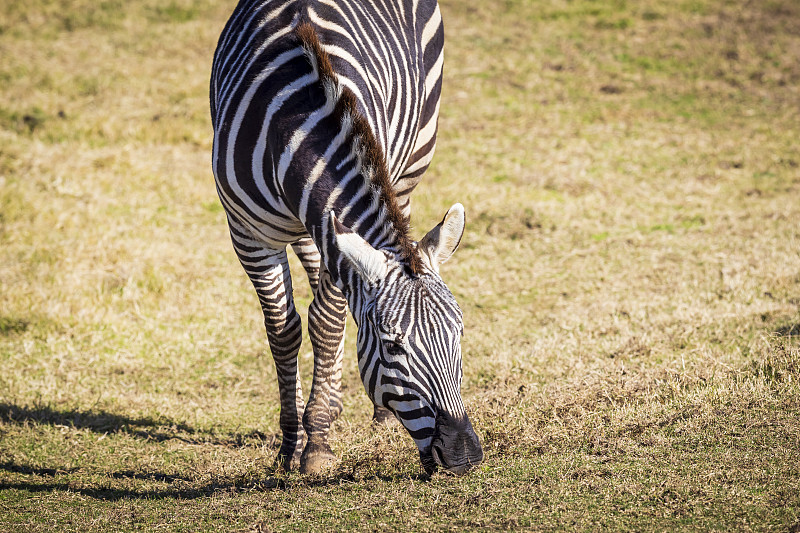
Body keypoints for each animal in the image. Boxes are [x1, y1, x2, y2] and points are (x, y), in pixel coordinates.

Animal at [209, 0, 482, 474]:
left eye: (459, 333)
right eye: (391, 347)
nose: (463, 455)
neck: (293, 129)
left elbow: (328, 322)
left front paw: (318, 436)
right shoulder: (248, 234)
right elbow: (285, 329)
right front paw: (294, 442)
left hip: (410, 159)